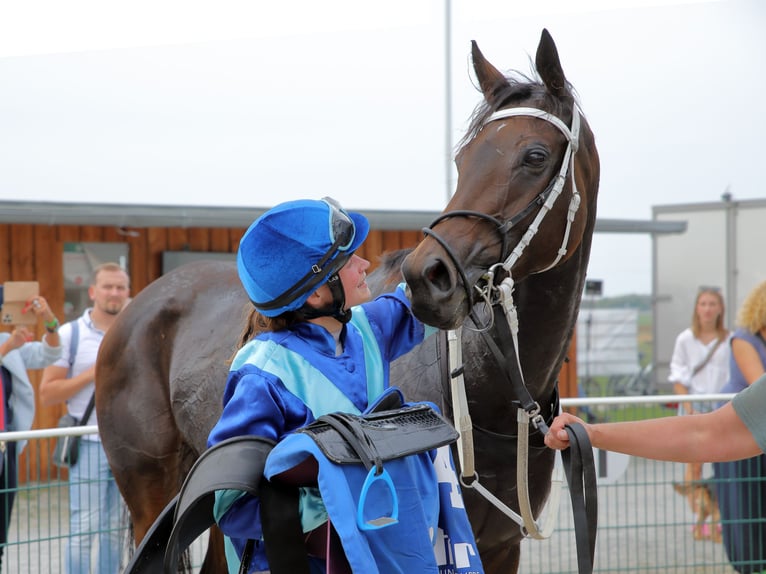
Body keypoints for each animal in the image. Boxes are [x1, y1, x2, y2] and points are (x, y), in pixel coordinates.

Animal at [94, 28, 600, 574]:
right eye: (463, 160)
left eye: (535, 156)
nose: (428, 277)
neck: (485, 400)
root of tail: (136, 307)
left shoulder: (503, 547)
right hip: (152, 495)